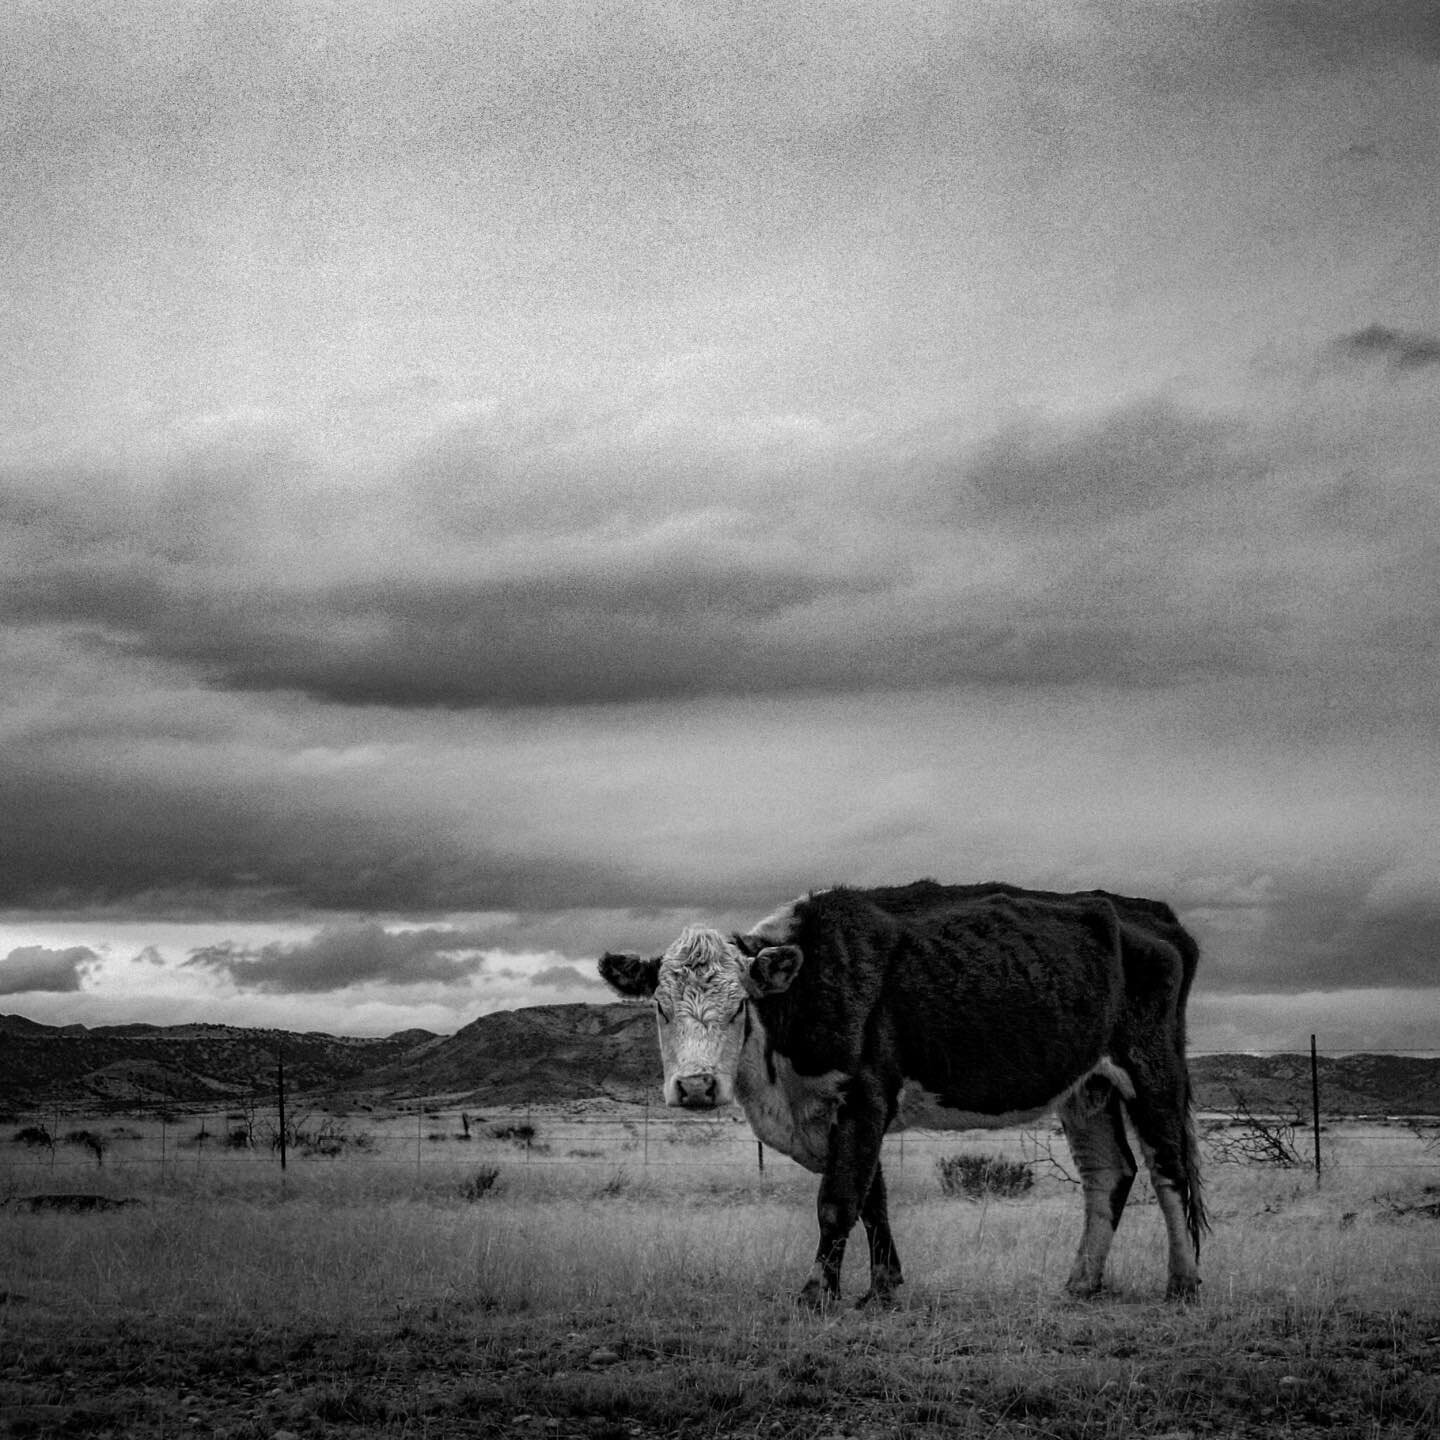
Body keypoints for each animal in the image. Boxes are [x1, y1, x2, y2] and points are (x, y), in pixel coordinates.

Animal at [601, 875, 1209, 1307]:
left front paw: (817, 1294)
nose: (696, 1086)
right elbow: (874, 1199)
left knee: (1169, 1169)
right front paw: (883, 1288)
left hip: (1152, 1070)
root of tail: (1150, 915)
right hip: (1089, 1088)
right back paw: (1081, 1282)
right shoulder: (840, 1114)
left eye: (739, 1006)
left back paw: (1183, 1284)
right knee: (1109, 1173)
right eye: (659, 1007)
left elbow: (838, 1201)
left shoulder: (865, 1096)